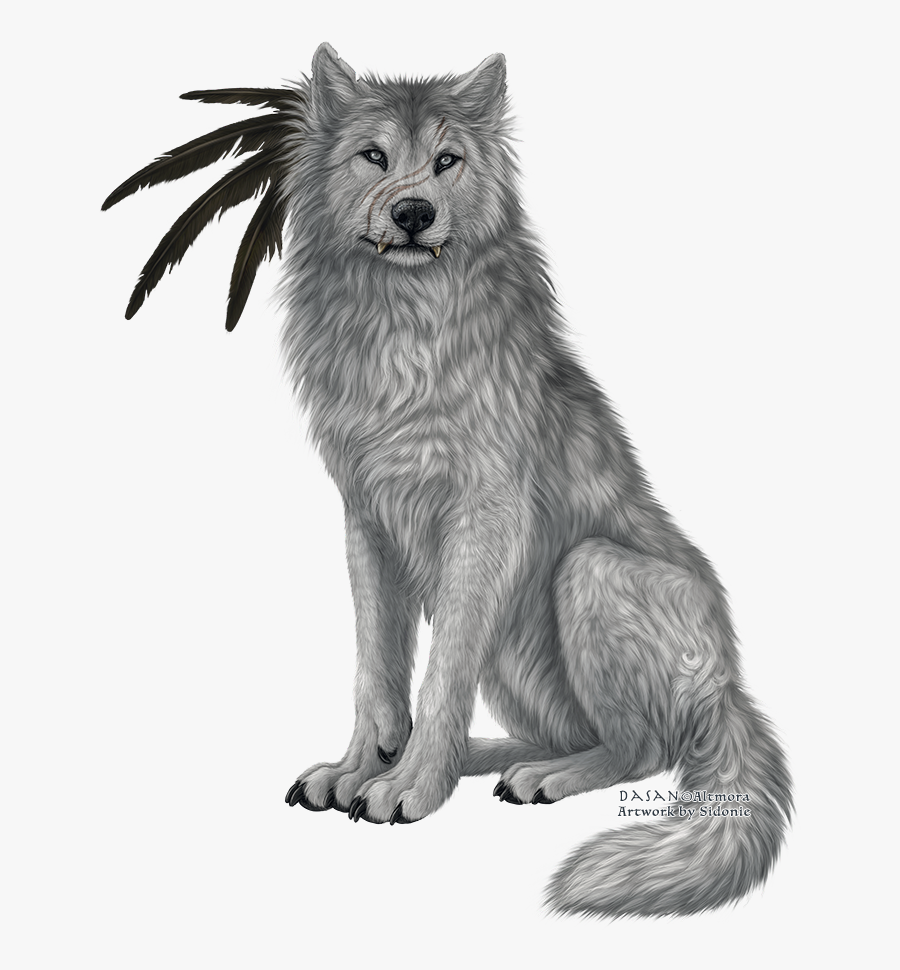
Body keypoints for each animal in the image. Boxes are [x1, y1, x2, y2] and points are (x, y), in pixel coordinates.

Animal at [107, 43, 792, 917]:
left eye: (446, 162)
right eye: (374, 156)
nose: (412, 213)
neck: (404, 332)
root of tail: (733, 690)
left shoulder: (482, 520)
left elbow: (439, 677)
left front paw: (411, 788)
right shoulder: (367, 520)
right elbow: (377, 670)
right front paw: (361, 768)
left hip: (588, 571)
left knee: (639, 747)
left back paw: (533, 774)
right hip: (519, 647)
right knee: (573, 730)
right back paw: (483, 755)